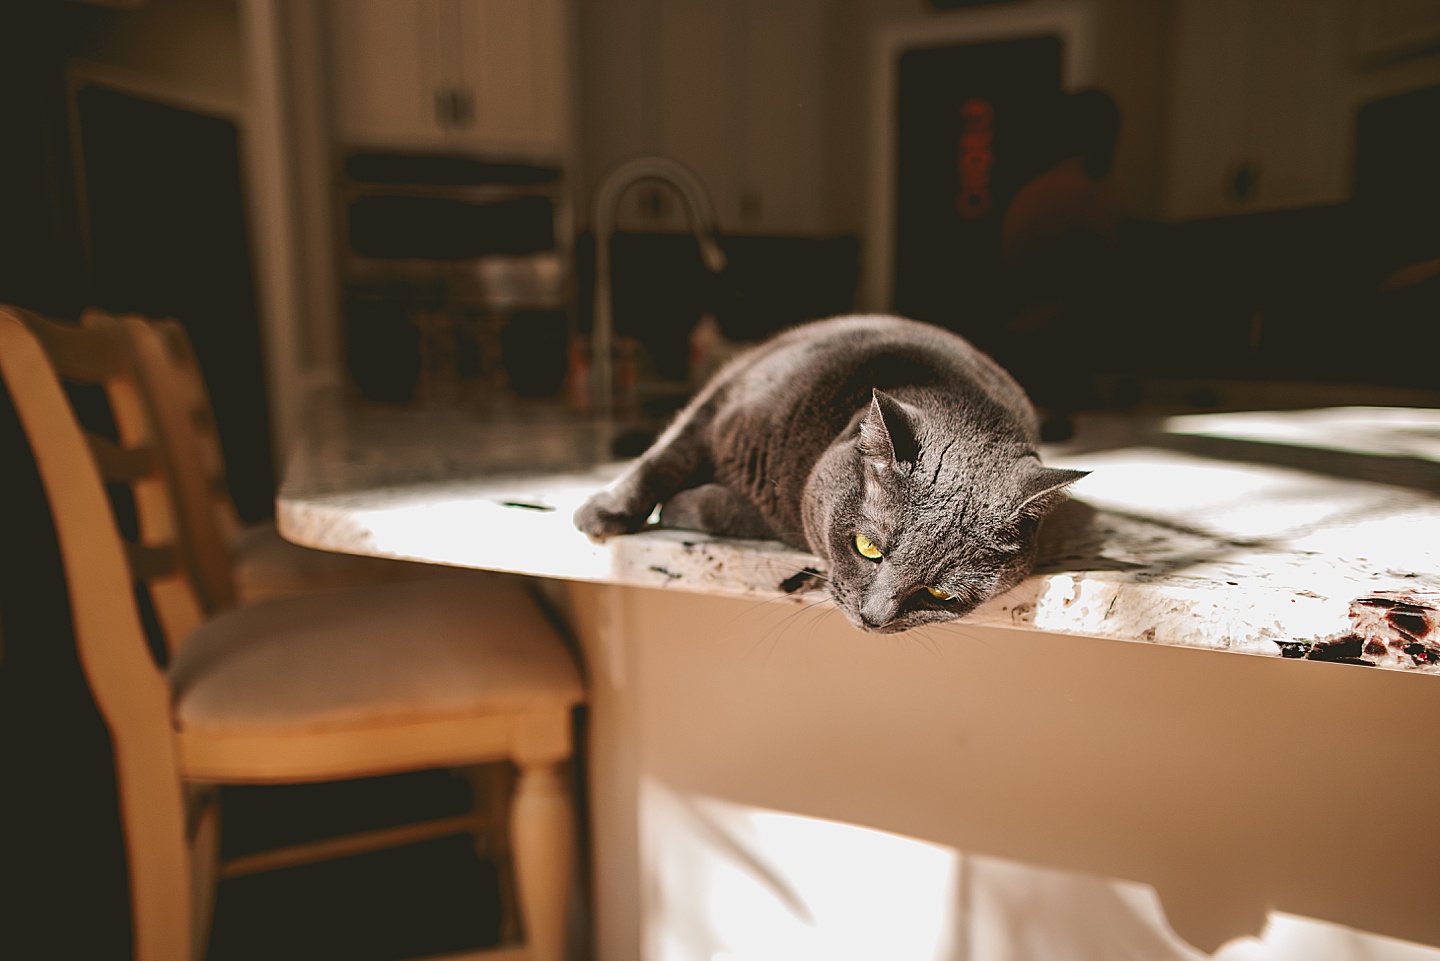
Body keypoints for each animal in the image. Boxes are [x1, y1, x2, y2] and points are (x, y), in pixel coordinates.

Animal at [570, 312, 1082, 633]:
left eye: (938, 594)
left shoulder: (783, 515)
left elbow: (725, 509)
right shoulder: (720, 404)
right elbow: (665, 458)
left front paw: (684, 506)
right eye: (867, 547)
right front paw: (603, 512)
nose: (875, 618)